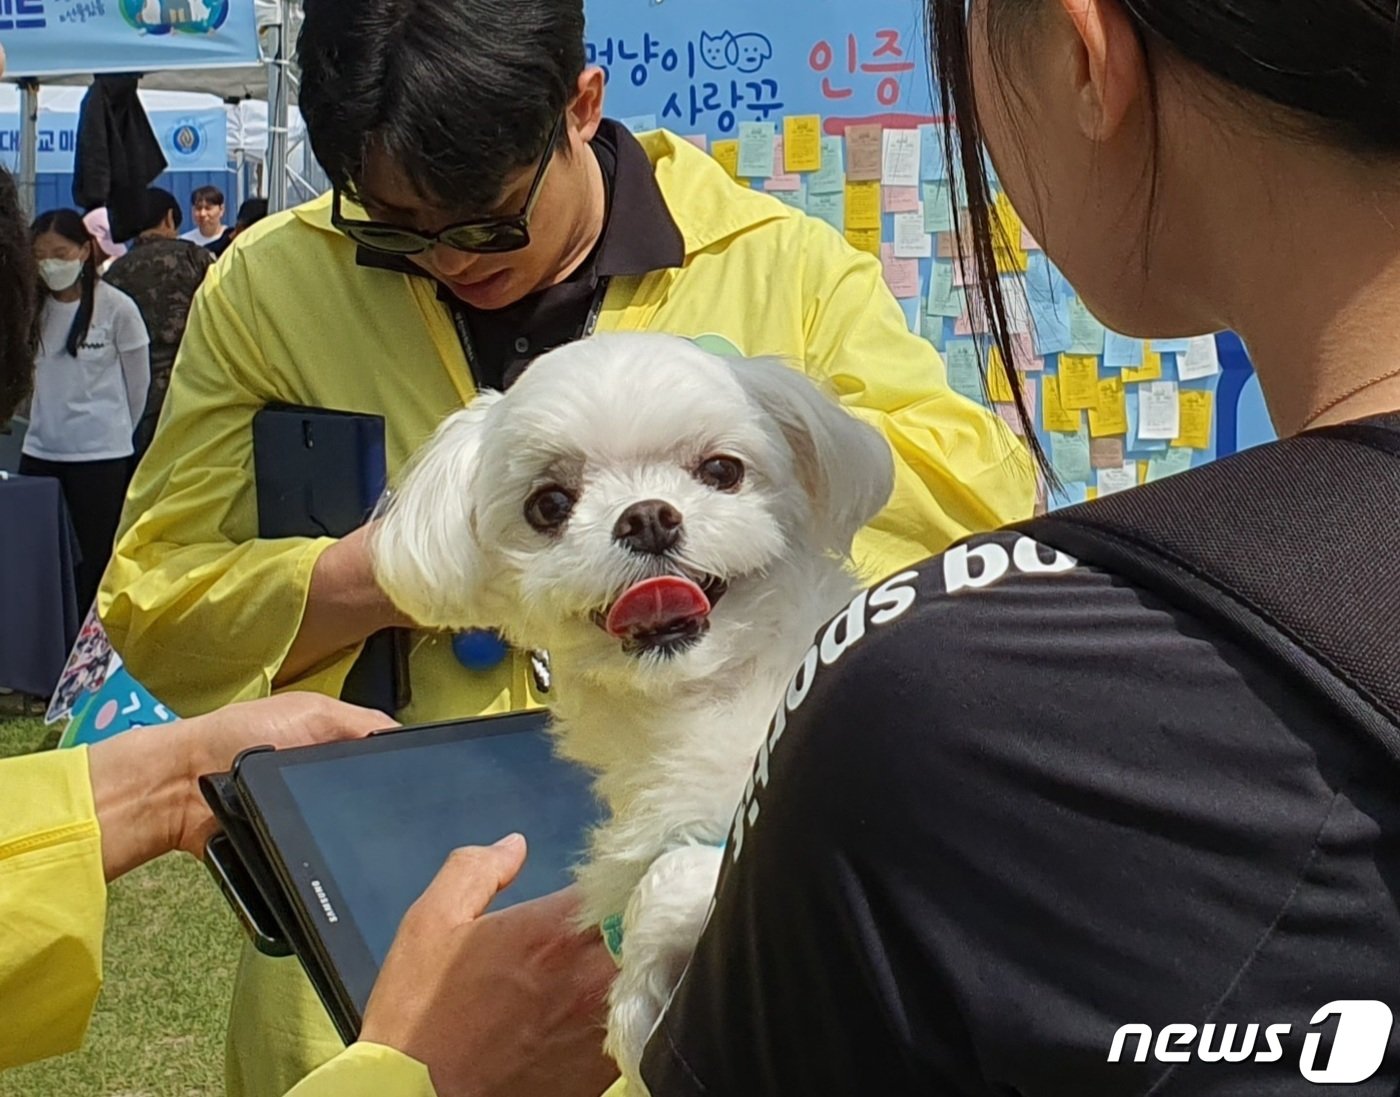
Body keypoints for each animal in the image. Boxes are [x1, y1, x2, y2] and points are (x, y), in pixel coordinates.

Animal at [372, 334, 896, 1085]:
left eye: (721, 470)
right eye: (549, 504)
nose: (648, 516)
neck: (704, 702)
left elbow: (673, 872)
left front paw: (632, 1011)